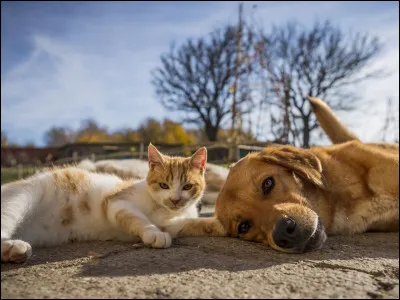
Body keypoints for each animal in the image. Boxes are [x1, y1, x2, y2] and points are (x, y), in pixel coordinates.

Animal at [0, 143, 227, 262]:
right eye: (164, 185)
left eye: (187, 186)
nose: (175, 199)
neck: (164, 210)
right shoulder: (117, 203)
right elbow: (139, 219)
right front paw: (153, 233)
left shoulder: (173, 223)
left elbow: (190, 224)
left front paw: (219, 225)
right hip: (21, 197)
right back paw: (14, 246)